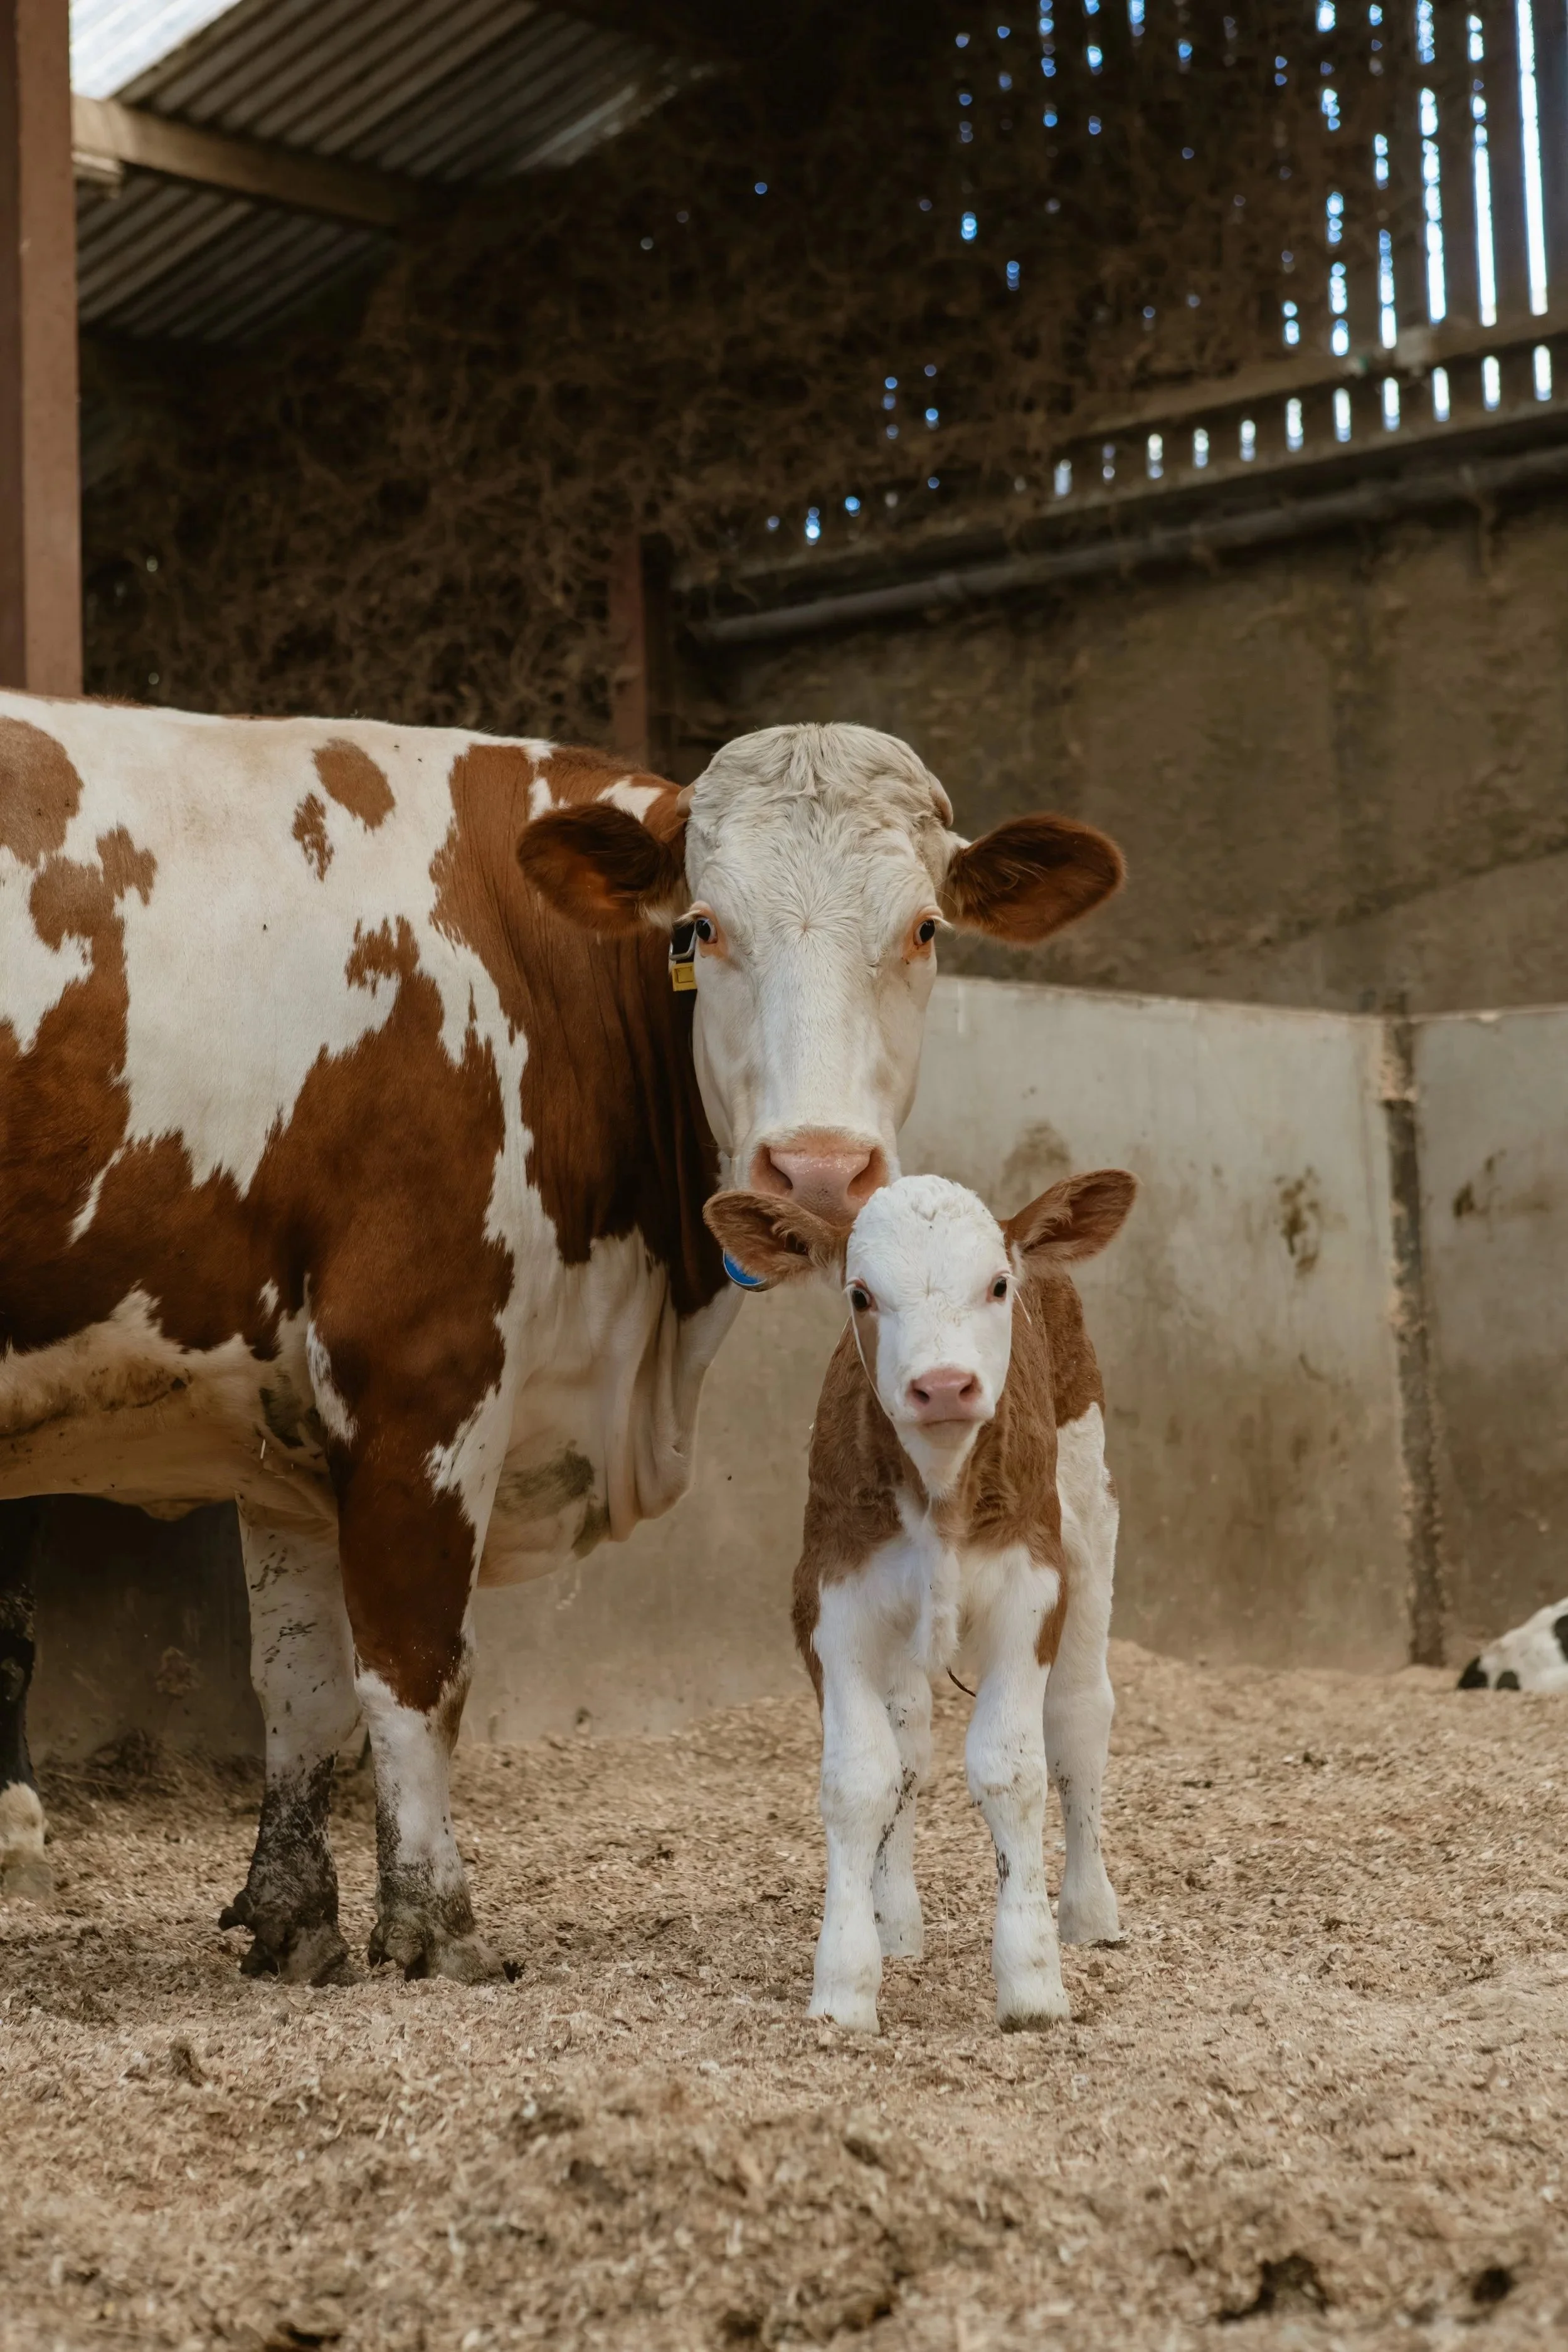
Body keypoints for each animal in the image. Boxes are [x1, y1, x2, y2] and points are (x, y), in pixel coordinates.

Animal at [705, 1166, 1136, 2033]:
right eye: (860, 1294)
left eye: (997, 1285)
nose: (941, 1387)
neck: (940, 1484)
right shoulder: (830, 1601)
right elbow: (863, 1776)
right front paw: (845, 1982)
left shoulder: (1030, 1589)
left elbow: (1011, 1767)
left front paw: (1031, 1980)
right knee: (907, 1739)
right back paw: (895, 1921)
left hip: (1088, 1505)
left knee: (1080, 1713)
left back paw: (1087, 1912)